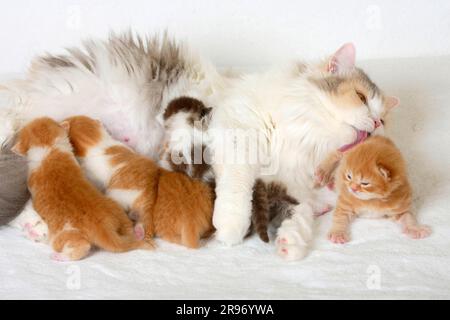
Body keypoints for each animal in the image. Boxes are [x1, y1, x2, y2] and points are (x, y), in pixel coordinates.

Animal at [11, 117, 151, 260]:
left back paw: (59, 256)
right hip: (117, 210)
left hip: (64, 235)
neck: (49, 148)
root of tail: (104, 229)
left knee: (81, 248)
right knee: (129, 230)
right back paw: (138, 232)